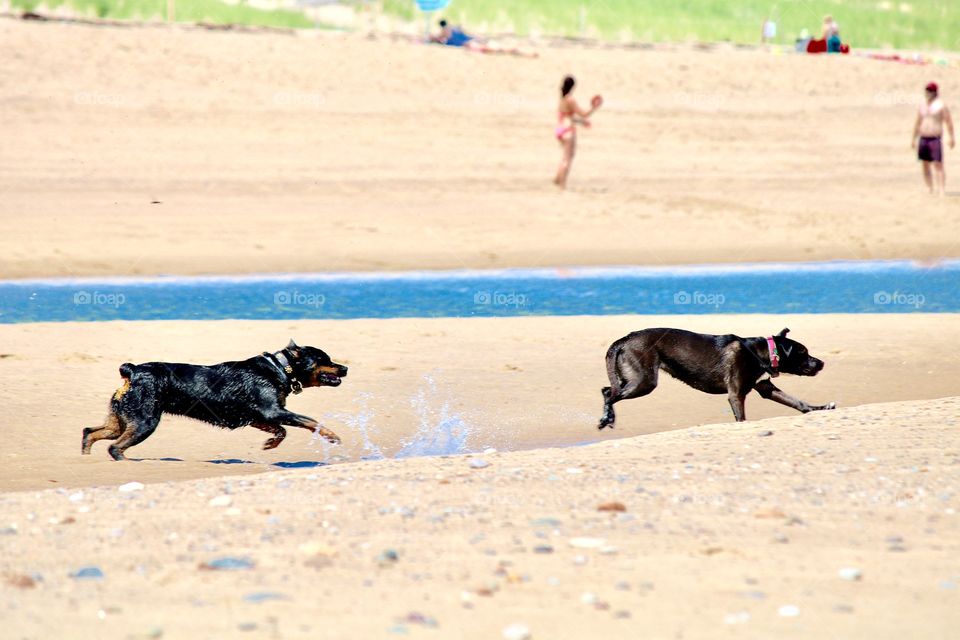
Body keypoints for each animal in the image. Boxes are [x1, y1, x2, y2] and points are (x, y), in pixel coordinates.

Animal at [80, 340, 346, 460]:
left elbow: (282, 430)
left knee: (90, 432)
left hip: (122, 419)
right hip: (145, 421)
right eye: (325, 359)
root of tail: (132, 371)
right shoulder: (272, 411)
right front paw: (331, 436)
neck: (280, 369)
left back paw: (86, 457)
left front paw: (271, 443)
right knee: (115, 447)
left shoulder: (256, 417)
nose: (345, 368)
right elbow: (310, 421)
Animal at [596, 328, 836, 428]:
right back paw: (606, 419)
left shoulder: (765, 388)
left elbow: (797, 402)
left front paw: (820, 408)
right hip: (644, 381)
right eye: (803, 353)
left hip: (635, 379)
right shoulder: (736, 394)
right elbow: (741, 417)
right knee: (608, 393)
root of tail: (624, 339)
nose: (821, 363)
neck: (760, 352)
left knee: (608, 390)